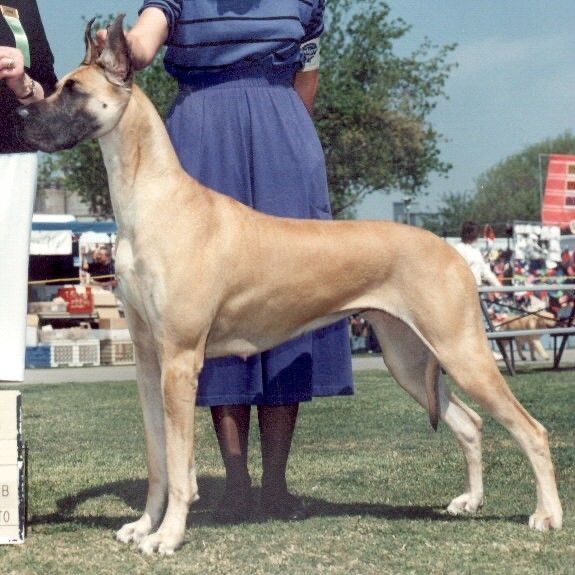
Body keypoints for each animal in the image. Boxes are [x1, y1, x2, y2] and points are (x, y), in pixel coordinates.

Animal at [19, 16, 563, 555]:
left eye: (73, 89)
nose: (22, 114)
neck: (153, 198)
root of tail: (449, 250)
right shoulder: (150, 361)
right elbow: (157, 459)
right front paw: (144, 525)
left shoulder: (180, 360)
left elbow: (178, 464)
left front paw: (168, 535)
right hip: (407, 356)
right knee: (471, 424)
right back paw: (470, 501)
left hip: (462, 350)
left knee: (532, 430)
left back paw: (547, 514)